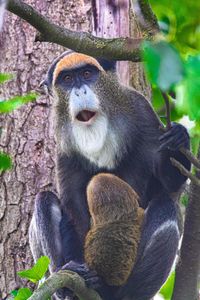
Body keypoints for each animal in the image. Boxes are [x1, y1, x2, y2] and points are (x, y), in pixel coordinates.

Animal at [28, 51, 190, 300]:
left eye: (87, 74)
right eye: (67, 79)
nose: (80, 91)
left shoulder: (143, 112)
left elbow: (170, 185)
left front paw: (180, 137)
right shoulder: (63, 145)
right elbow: (73, 210)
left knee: (166, 208)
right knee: (44, 200)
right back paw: (67, 286)